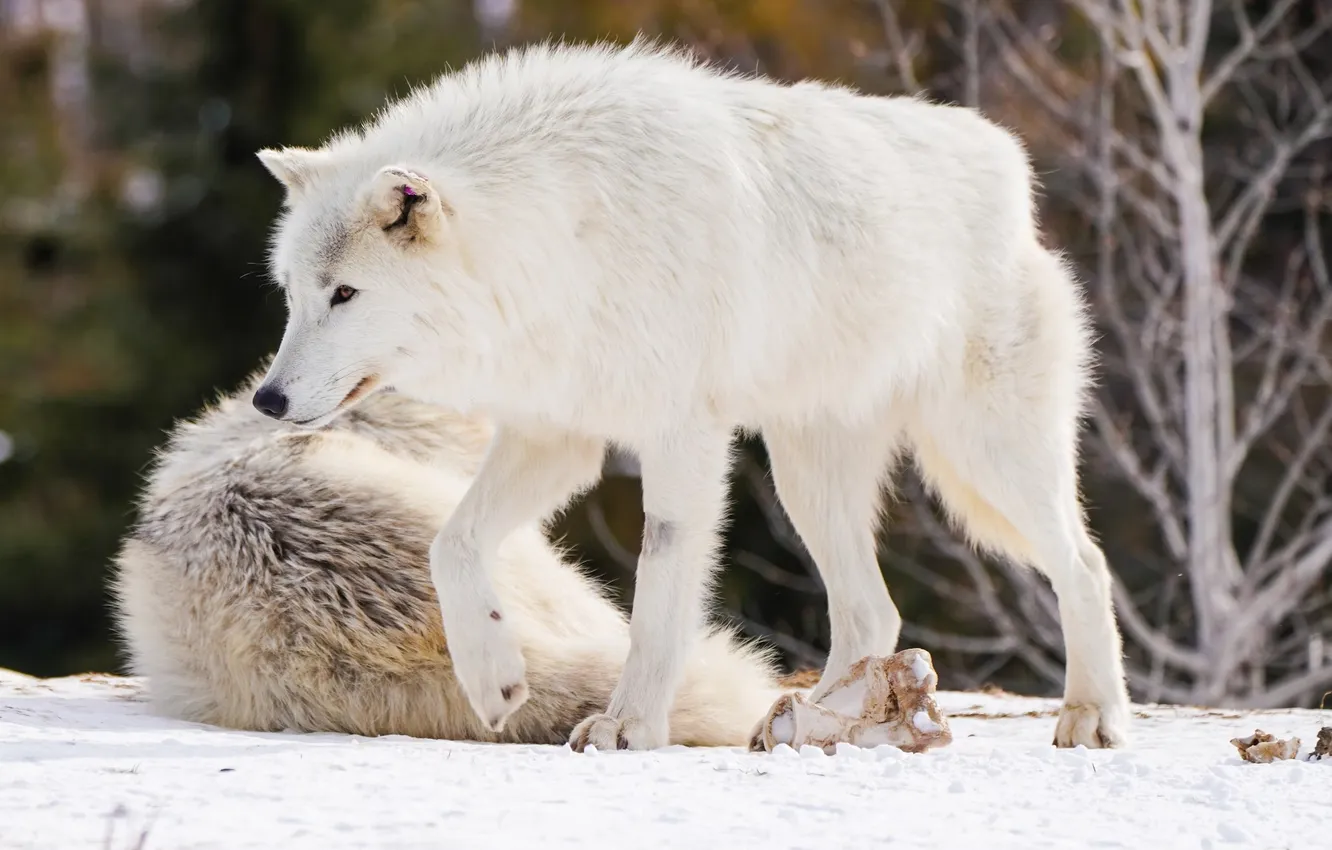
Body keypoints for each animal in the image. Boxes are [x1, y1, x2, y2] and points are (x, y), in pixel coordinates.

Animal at [250, 38, 1132, 751]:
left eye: (345, 295)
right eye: (290, 294)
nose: (267, 401)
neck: (562, 233)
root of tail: (1006, 158)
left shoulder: (681, 440)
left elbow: (658, 603)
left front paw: (627, 727)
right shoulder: (556, 436)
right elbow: (451, 545)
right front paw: (493, 679)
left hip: (987, 460)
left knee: (1086, 565)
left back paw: (1092, 717)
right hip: (807, 482)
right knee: (872, 613)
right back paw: (816, 724)